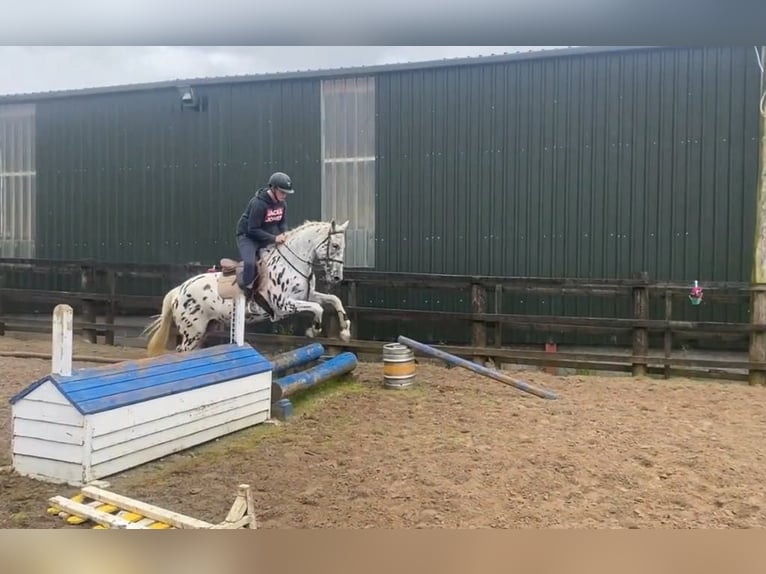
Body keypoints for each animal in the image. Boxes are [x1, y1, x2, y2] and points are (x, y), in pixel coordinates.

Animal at [144, 219, 354, 356]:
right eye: (335, 246)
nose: (337, 277)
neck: (292, 262)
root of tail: (179, 291)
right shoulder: (283, 305)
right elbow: (318, 309)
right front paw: (313, 330)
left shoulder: (307, 296)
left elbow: (334, 300)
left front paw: (345, 331)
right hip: (192, 331)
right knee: (182, 352)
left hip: (205, 328)